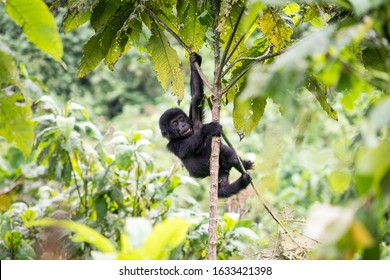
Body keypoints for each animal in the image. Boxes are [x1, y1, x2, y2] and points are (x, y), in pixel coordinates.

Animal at [158, 52, 253, 197]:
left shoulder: (195, 121)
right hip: (221, 173)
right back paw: (243, 179)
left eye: (181, 119)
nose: (183, 125)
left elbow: (196, 97)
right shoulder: (172, 145)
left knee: (224, 153)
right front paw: (209, 128)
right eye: (174, 124)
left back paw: (240, 163)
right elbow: (185, 147)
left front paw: (195, 61)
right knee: (222, 190)